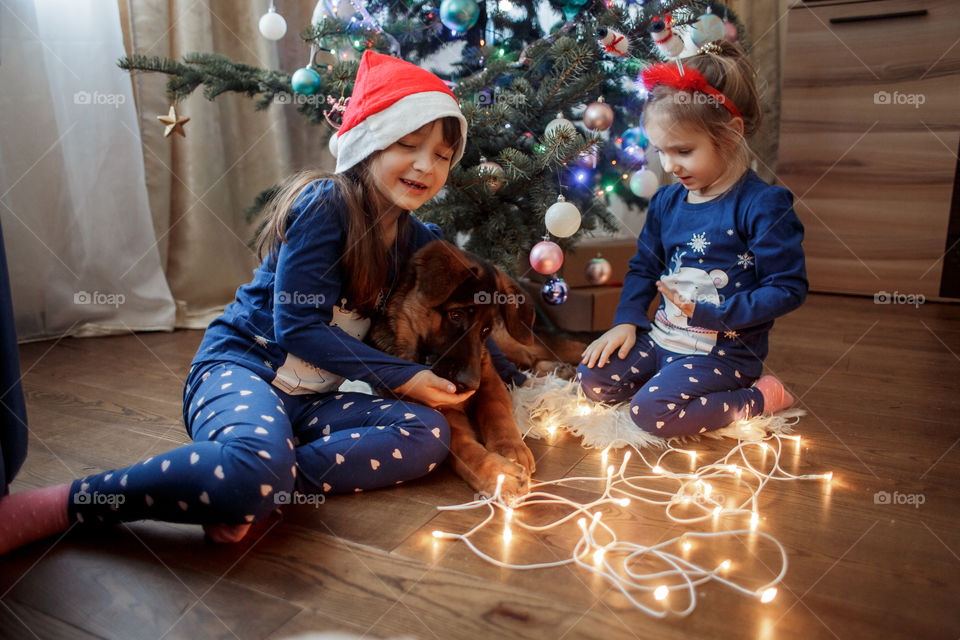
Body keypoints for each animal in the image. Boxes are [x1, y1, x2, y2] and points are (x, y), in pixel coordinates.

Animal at [368, 240, 536, 496]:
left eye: (485, 330)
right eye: (455, 315)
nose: (471, 384)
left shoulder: (489, 375)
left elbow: (496, 409)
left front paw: (511, 447)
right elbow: (462, 445)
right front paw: (499, 474)